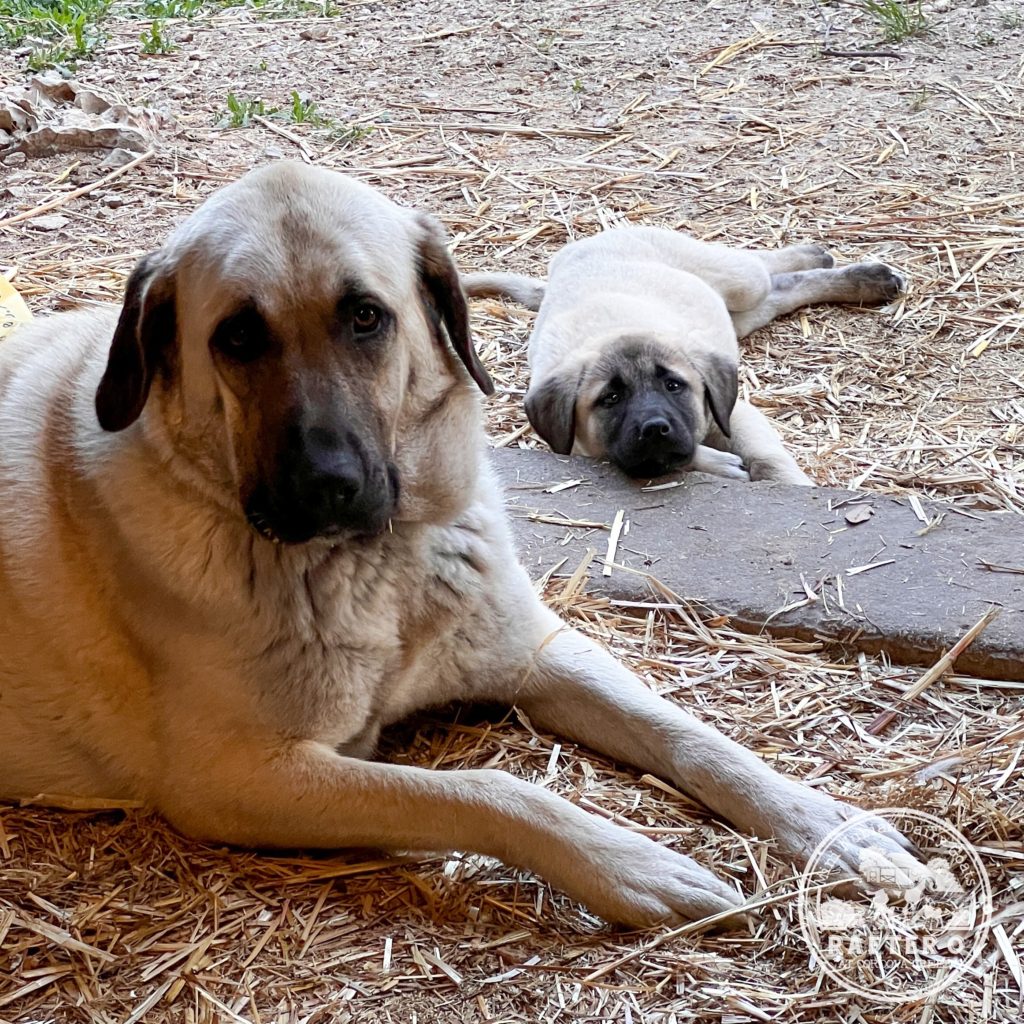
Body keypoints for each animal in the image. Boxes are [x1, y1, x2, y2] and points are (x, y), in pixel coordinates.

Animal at [464, 230, 905, 485]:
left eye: (674, 385)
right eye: (610, 398)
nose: (654, 428)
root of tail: (571, 253)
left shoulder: (733, 411)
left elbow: (770, 463)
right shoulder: (581, 450)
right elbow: (682, 457)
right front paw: (718, 464)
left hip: (736, 279)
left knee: (764, 268)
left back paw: (829, 259)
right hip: (738, 313)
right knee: (781, 291)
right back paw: (861, 279)